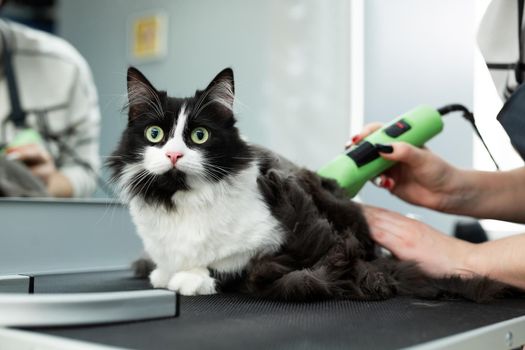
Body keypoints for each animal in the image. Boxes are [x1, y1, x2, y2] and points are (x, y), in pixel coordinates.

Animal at [109, 67, 508, 300]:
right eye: (155, 134)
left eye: (199, 136)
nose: (174, 155)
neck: (181, 199)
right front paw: (165, 273)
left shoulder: (265, 248)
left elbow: (234, 267)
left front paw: (192, 278)